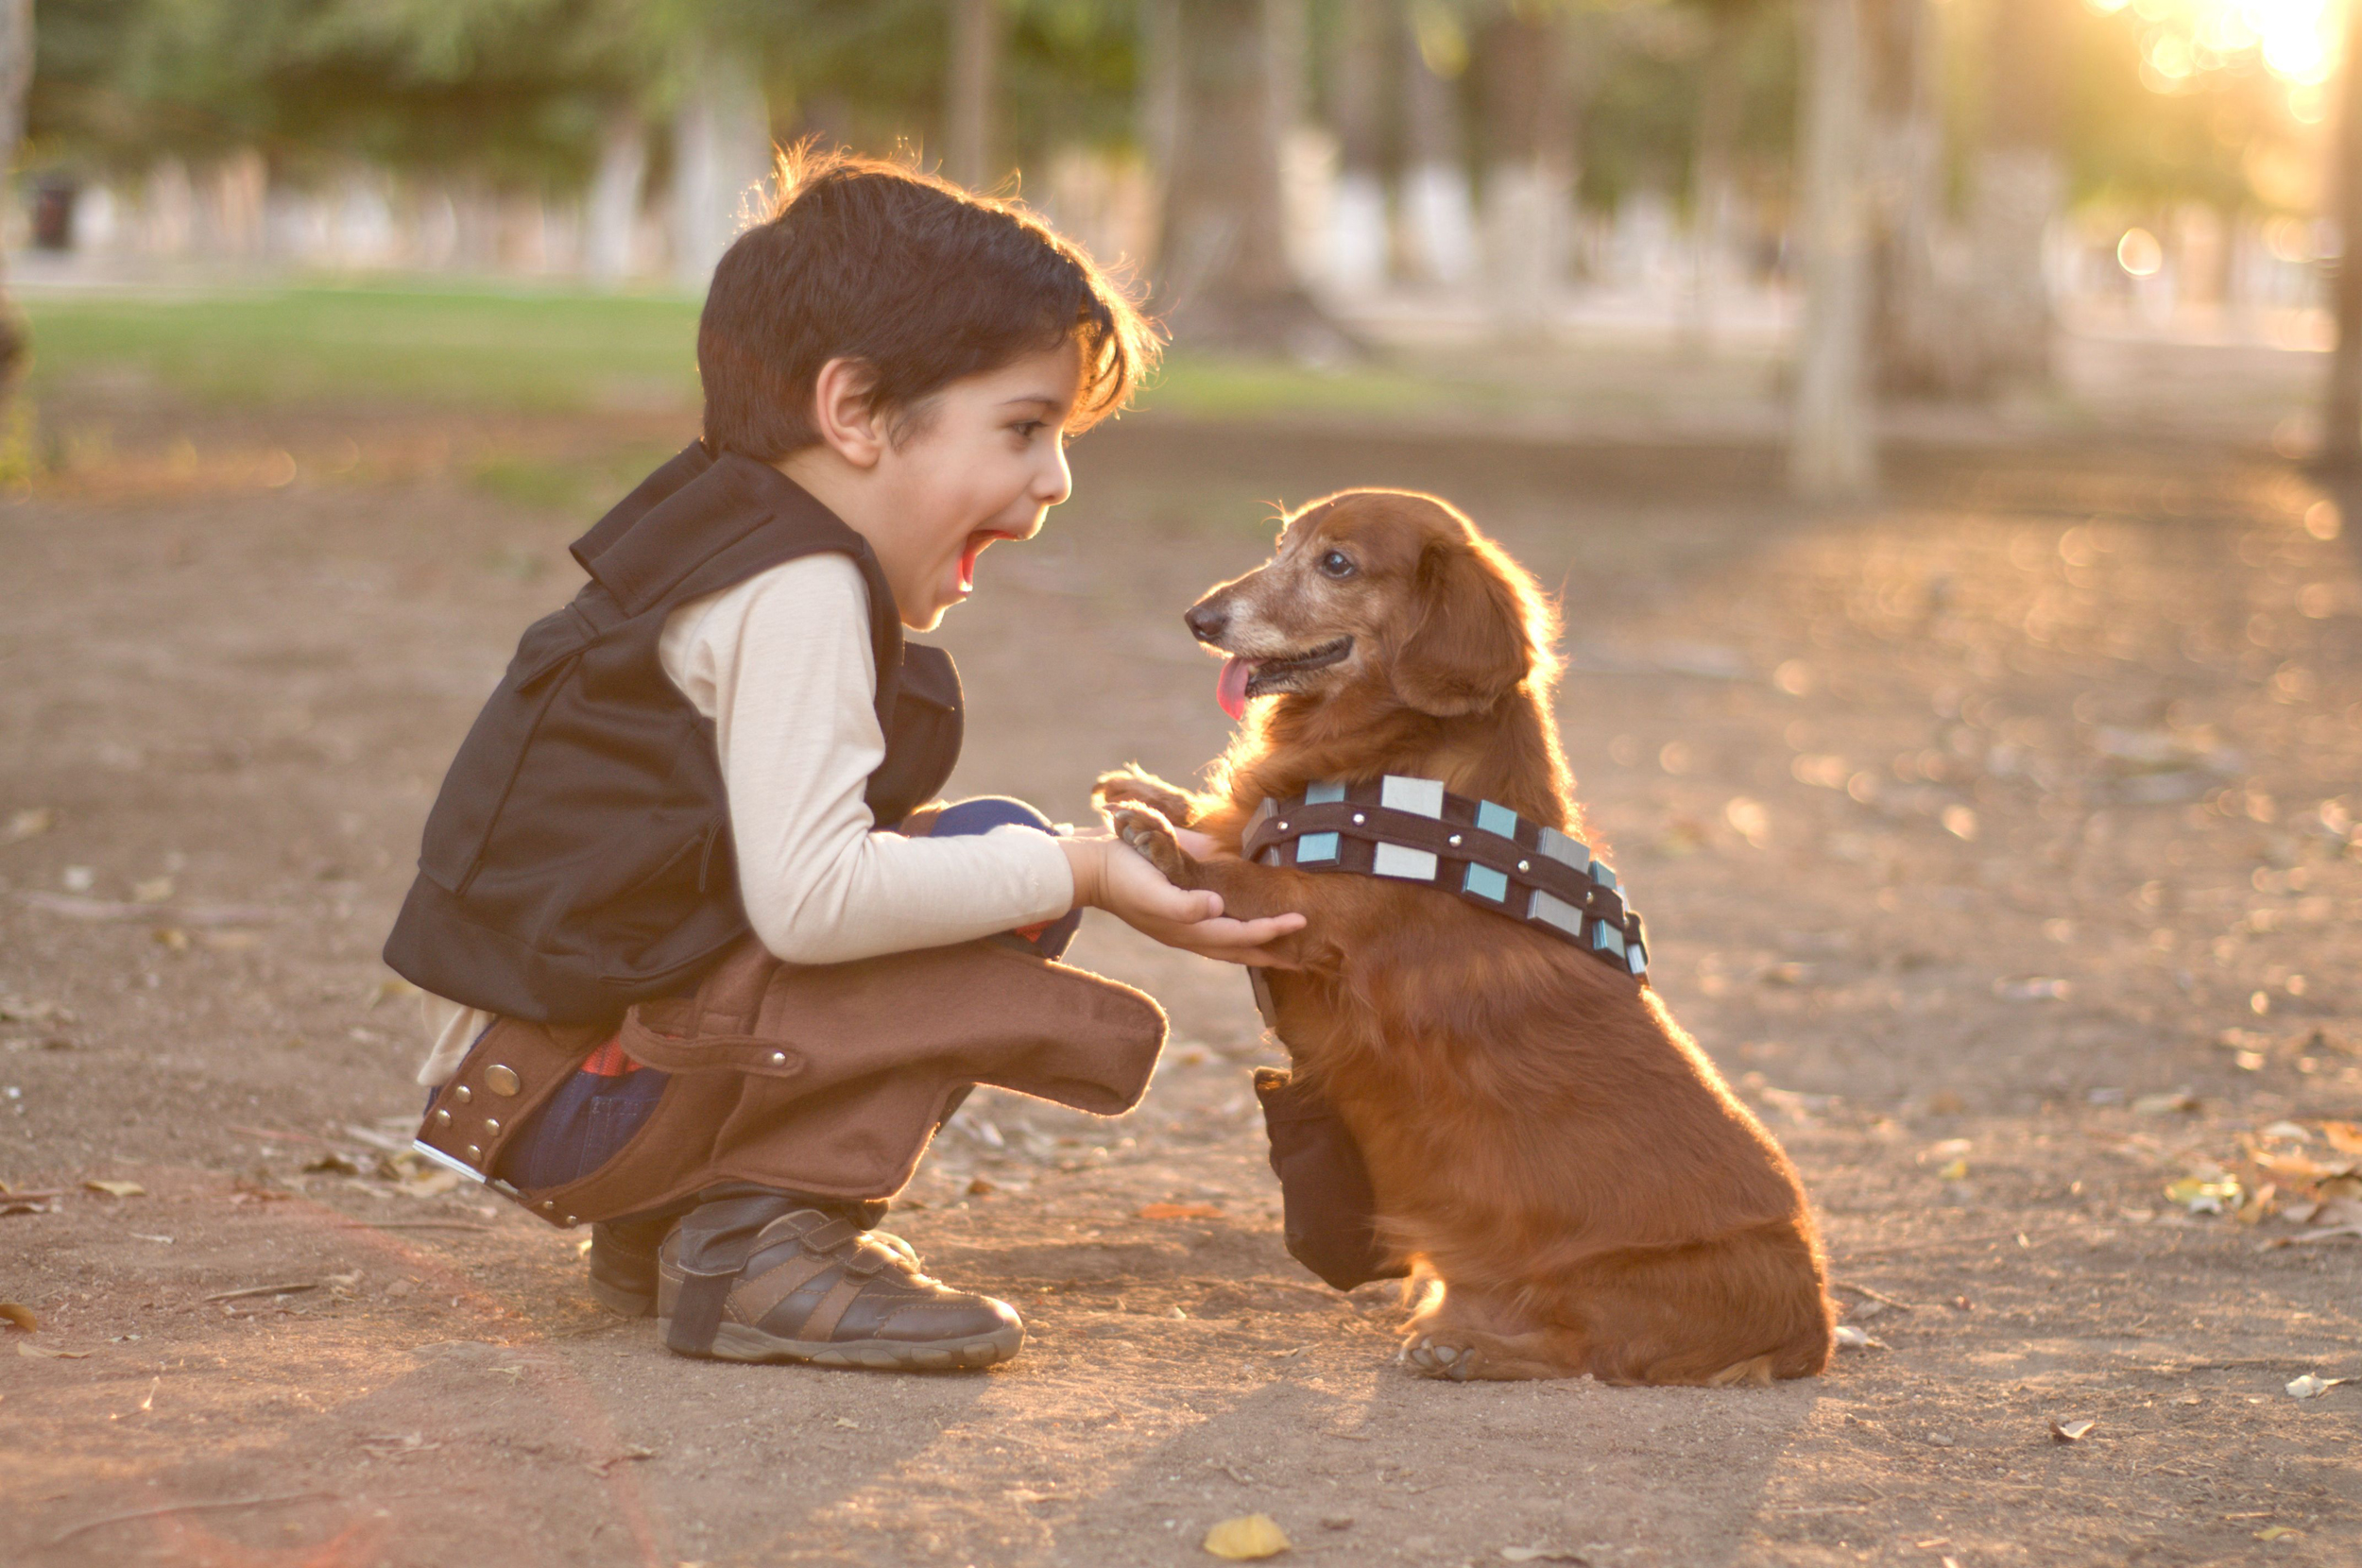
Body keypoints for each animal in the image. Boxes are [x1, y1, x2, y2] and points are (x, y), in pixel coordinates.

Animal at [1096, 486, 1833, 1389]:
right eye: (1282, 544)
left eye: (1336, 564)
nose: (1199, 618)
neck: (1397, 763)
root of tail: (1815, 1327)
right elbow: (1228, 823)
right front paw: (1150, 791)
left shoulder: (1313, 915)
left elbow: (1233, 875)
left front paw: (1156, 839)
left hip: (1611, 1280)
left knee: (1580, 1353)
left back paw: (1466, 1349)